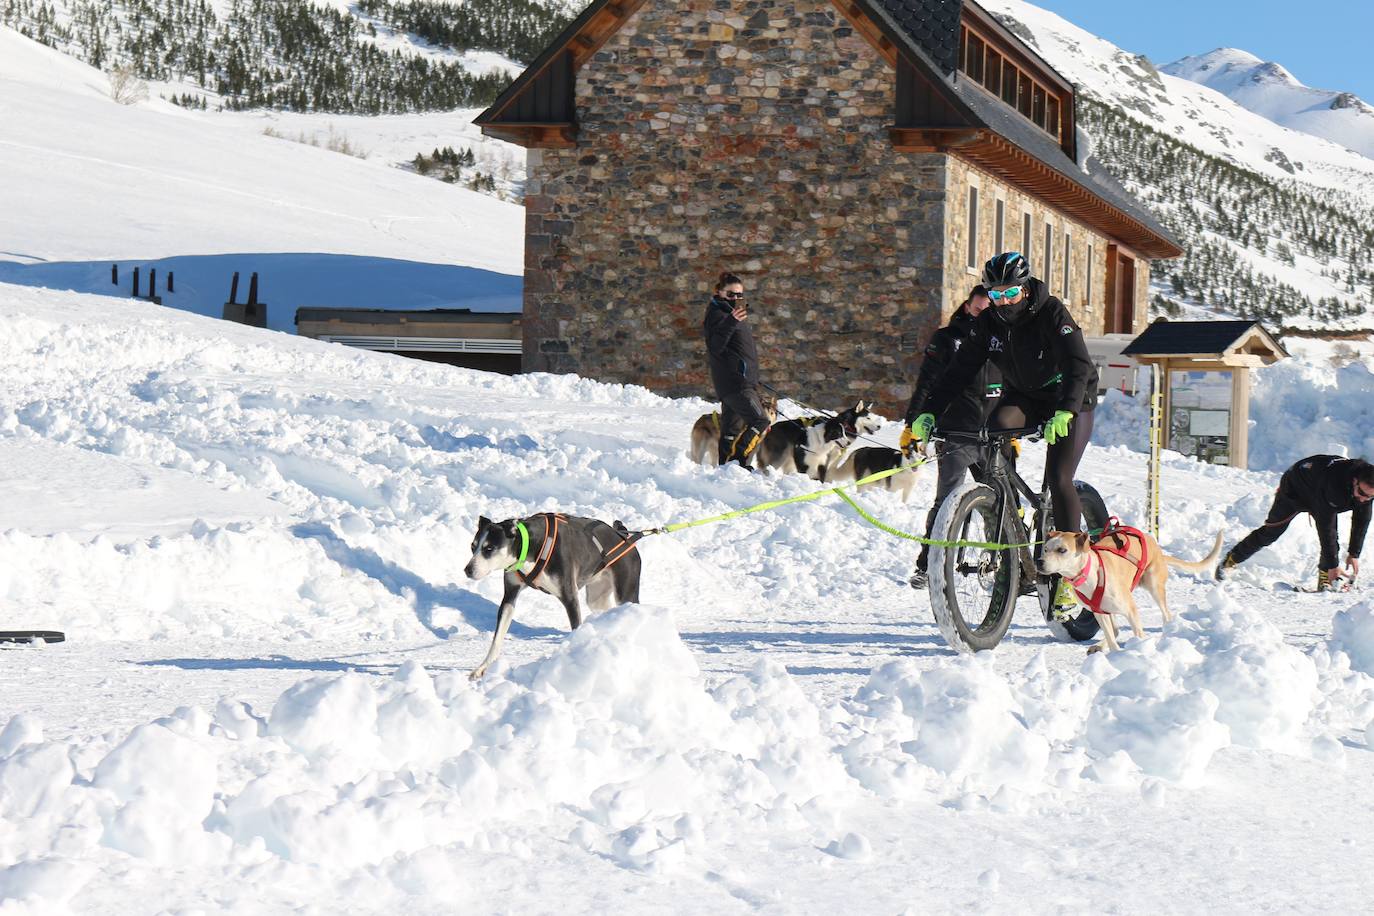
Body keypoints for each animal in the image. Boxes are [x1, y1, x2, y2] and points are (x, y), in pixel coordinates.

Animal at [456, 516, 637, 681]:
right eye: (473, 547)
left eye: (489, 548)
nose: (468, 570)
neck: (531, 544)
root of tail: (623, 535)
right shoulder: (510, 596)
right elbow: (497, 638)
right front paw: (483, 667)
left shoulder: (569, 597)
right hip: (596, 598)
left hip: (625, 593)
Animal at [1038, 527, 1225, 656]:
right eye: (1045, 549)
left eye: (1062, 550)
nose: (1039, 561)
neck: (1090, 573)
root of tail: (1156, 547)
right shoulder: (1099, 612)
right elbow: (1111, 635)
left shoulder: (1130, 610)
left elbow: (1139, 634)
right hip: (1109, 609)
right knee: (1115, 630)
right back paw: (1099, 645)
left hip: (1155, 587)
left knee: (1166, 616)